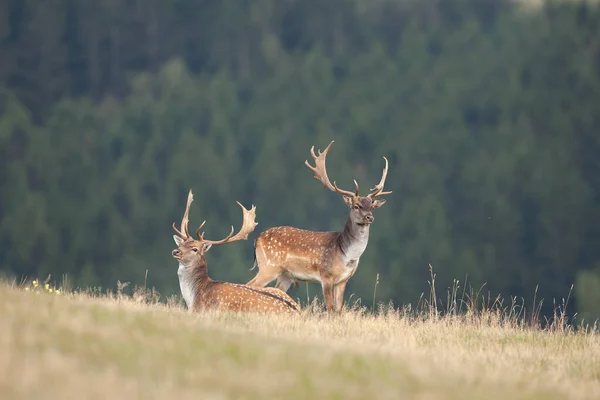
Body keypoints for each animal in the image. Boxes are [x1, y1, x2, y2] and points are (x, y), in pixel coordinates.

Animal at [246, 142, 392, 314]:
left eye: (372, 207)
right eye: (356, 206)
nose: (369, 217)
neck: (346, 255)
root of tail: (257, 239)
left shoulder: (343, 280)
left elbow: (339, 310)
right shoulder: (326, 276)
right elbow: (330, 308)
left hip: (285, 275)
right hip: (269, 266)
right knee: (251, 285)